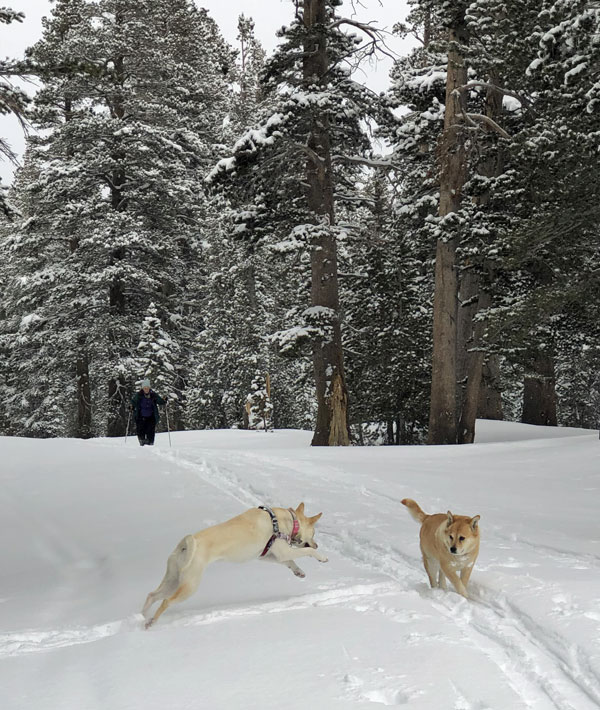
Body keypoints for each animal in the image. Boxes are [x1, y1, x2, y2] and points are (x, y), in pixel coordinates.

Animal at [142, 506, 328, 628]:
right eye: (314, 534)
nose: (318, 544)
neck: (288, 520)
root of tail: (185, 544)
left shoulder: (269, 555)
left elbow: (289, 562)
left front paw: (299, 572)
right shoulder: (283, 551)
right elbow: (306, 551)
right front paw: (322, 557)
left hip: (173, 579)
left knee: (152, 595)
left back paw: (143, 616)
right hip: (189, 585)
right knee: (166, 601)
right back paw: (151, 622)